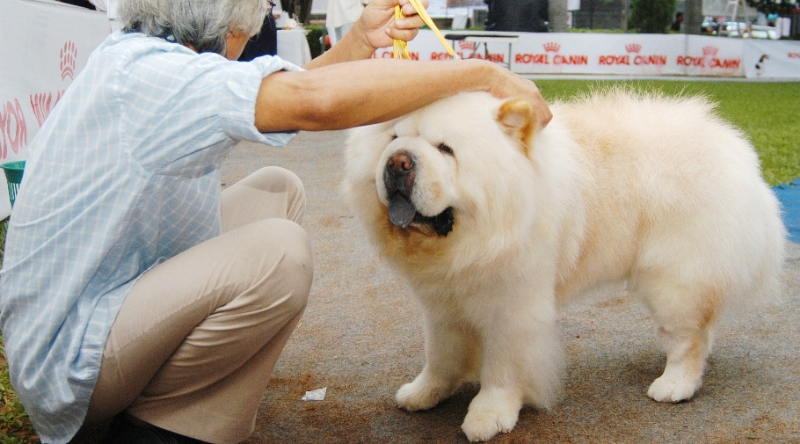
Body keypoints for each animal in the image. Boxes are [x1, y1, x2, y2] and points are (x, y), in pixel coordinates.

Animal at [340, 89, 784, 440]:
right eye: (393, 138)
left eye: (446, 149)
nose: (398, 162)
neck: (468, 240)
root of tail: (736, 151)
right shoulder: (442, 305)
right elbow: (440, 355)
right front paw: (424, 394)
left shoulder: (512, 308)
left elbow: (502, 369)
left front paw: (488, 415)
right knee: (701, 331)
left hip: (674, 279)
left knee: (688, 337)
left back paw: (674, 385)